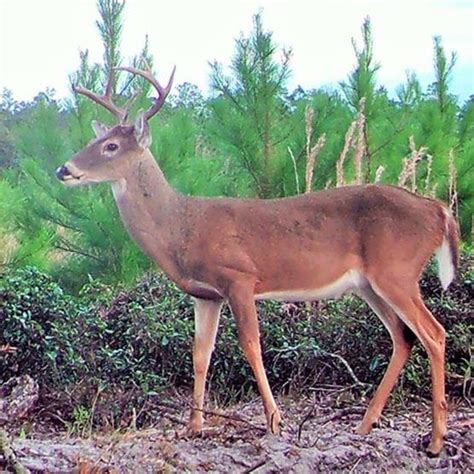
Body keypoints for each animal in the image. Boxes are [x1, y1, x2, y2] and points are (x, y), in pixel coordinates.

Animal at [56, 64, 460, 456]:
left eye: (111, 146)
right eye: (95, 140)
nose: (64, 169)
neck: (181, 227)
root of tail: (439, 211)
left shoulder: (240, 277)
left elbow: (251, 344)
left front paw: (274, 421)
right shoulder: (205, 294)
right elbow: (200, 352)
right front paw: (194, 425)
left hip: (396, 271)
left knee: (434, 333)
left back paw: (436, 440)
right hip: (369, 285)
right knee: (403, 337)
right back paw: (366, 424)